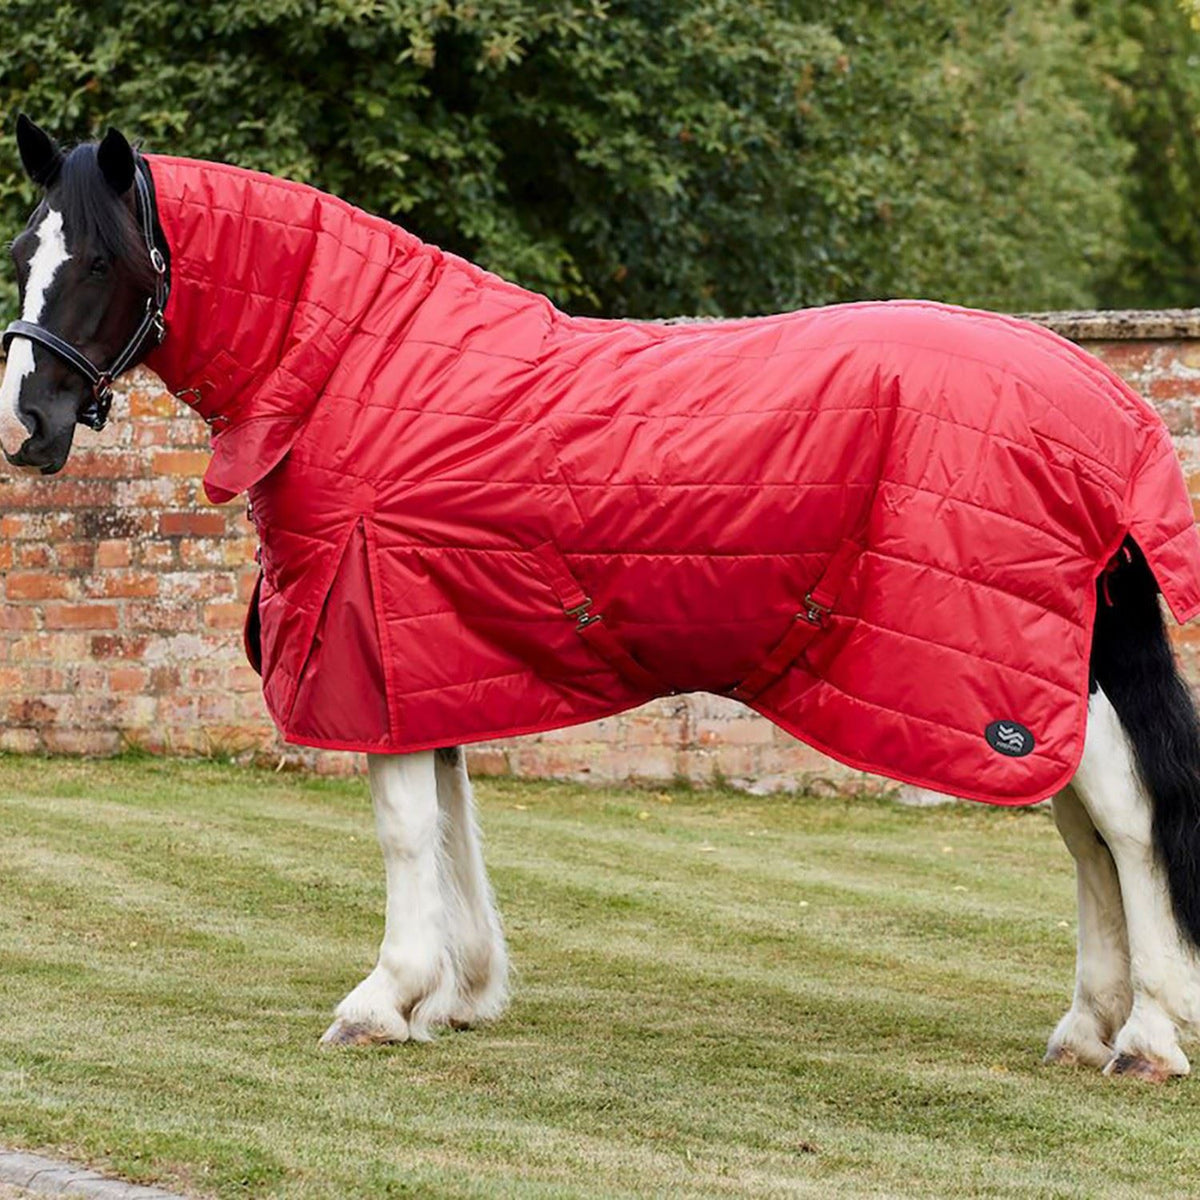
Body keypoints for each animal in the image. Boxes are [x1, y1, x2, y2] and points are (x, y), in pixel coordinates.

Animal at [4, 116, 1200, 1081]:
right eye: (23, 254)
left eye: (100, 260)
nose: (28, 426)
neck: (358, 367)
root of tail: (1109, 412)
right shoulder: (435, 656)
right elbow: (453, 818)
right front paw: (458, 993)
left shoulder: (374, 639)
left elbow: (404, 828)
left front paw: (384, 1000)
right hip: (1032, 691)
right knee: (1086, 835)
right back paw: (1086, 1028)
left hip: (1025, 685)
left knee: (1129, 825)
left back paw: (1144, 1039)